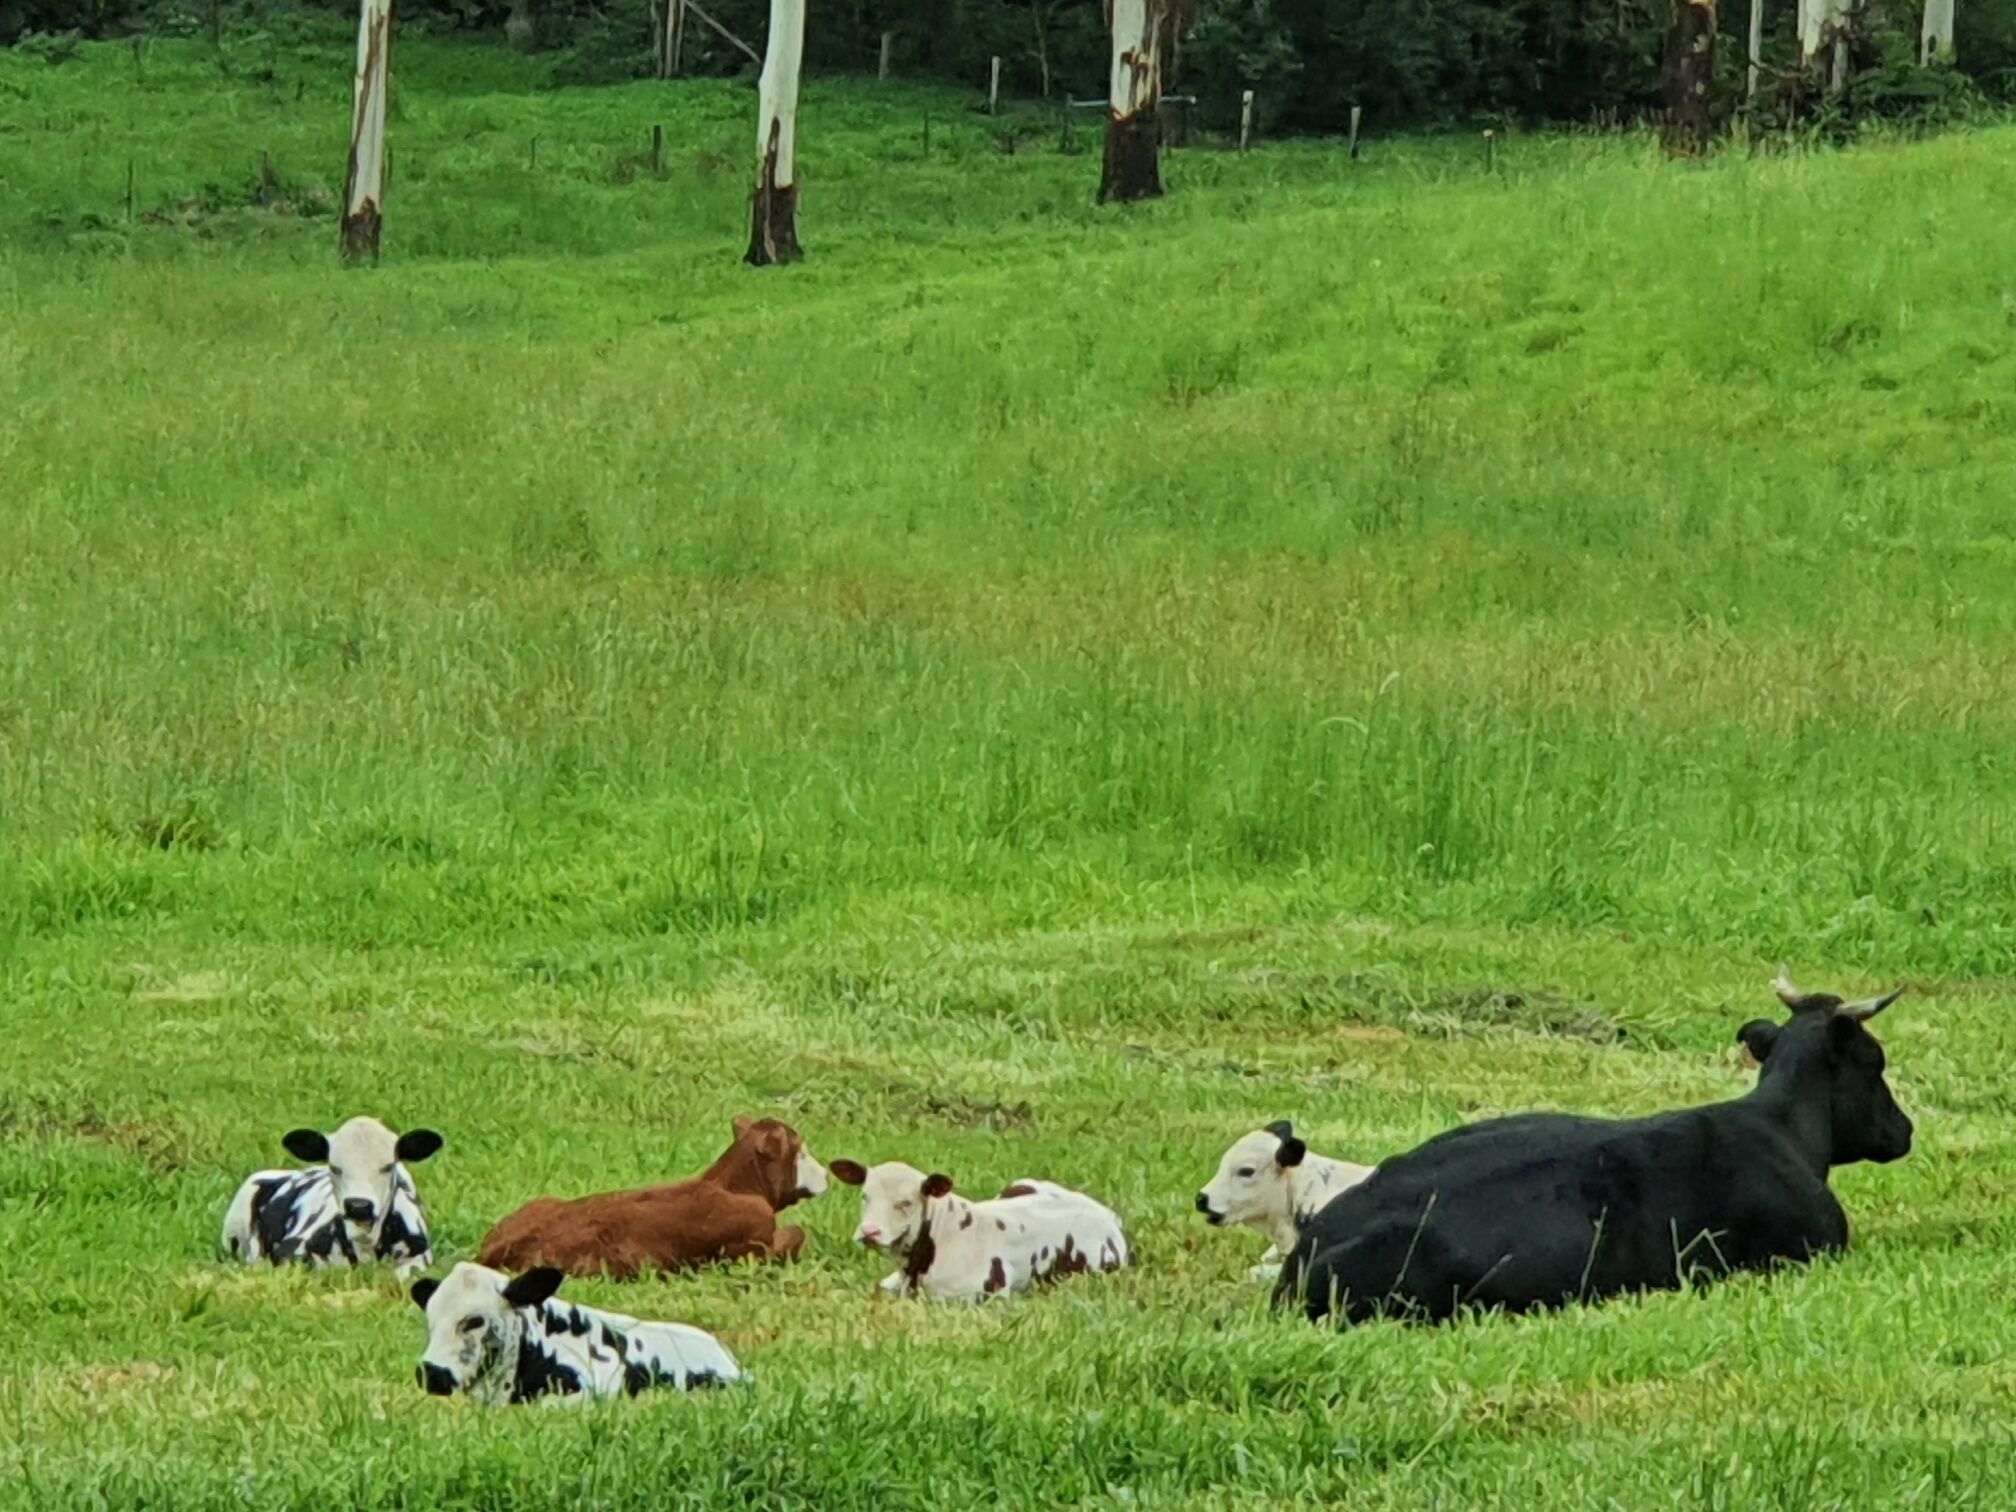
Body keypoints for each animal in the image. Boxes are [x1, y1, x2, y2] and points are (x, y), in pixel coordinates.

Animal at [220, 1120, 441, 1282]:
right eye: (334, 1167)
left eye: (388, 1166)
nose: (358, 1206)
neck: (365, 1246)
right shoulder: (289, 1251)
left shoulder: (420, 1256)